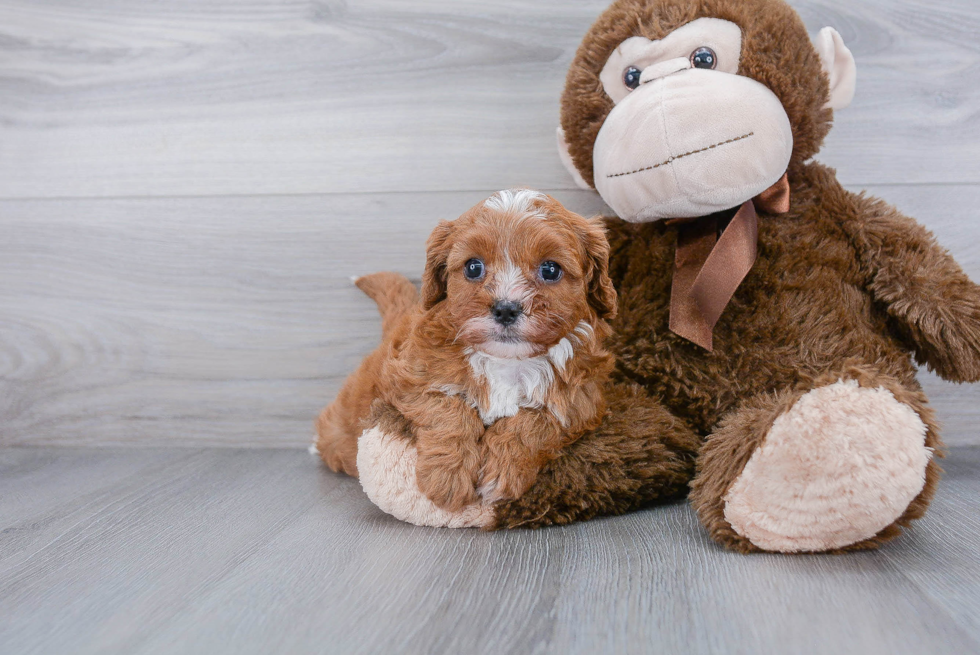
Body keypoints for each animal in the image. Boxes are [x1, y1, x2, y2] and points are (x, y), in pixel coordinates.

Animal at [318, 190, 616, 512]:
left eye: (550, 270)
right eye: (474, 267)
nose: (505, 308)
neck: (506, 361)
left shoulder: (580, 399)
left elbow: (534, 421)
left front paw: (502, 472)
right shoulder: (410, 378)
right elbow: (449, 409)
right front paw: (447, 477)